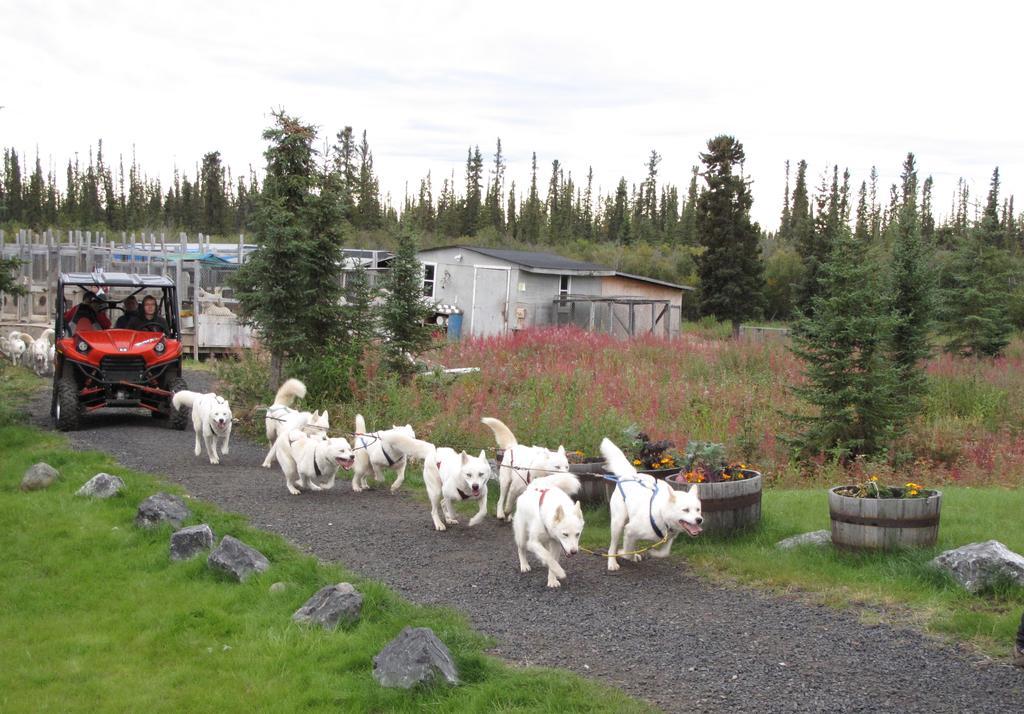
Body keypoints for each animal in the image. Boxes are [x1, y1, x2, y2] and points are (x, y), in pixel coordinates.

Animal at [598, 436, 704, 569]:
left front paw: (652, 552)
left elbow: (664, 552)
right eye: (685, 510)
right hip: (618, 523)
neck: (661, 514)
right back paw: (612, 562)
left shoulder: (669, 538)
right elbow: (627, 552)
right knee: (612, 546)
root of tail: (628, 475)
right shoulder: (629, 530)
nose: (699, 520)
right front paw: (623, 553)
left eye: (698, 510)